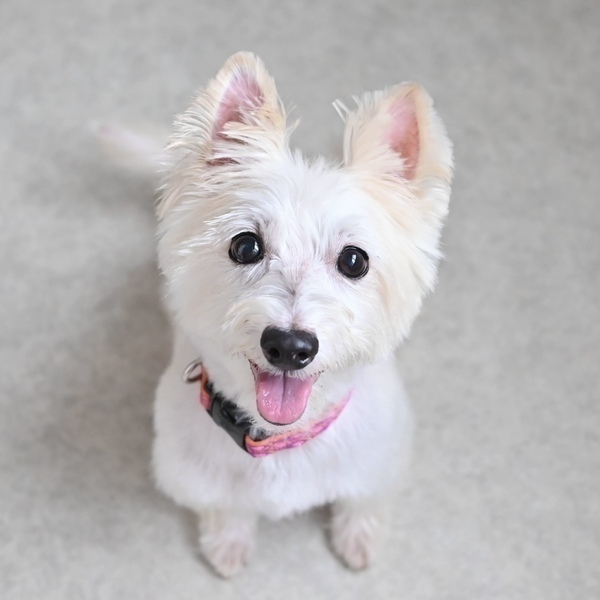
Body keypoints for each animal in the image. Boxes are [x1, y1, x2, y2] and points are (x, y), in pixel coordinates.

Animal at [143, 52, 453, 577]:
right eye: (245, 246)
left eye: (354, 260)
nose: (289, 346)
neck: (281, 441)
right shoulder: (191, 472)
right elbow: (223, 506)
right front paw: (228, 542)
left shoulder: (381, 460)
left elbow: (362, 500)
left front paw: (358, 538)